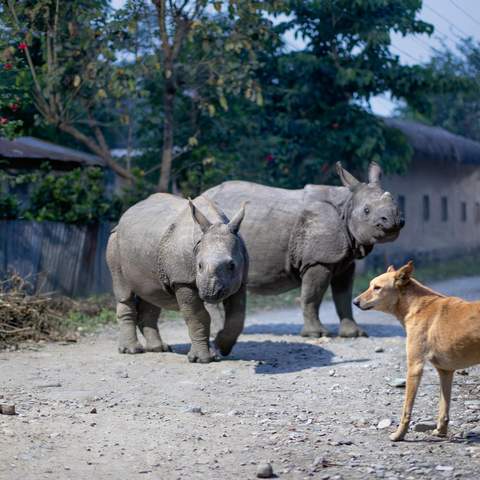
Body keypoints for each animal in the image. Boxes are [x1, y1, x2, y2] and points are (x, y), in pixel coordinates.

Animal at [352, 262, 480, 442]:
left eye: (377, 288)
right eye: (371, 285)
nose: (354, 301)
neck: (416, 306)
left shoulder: (414, 367)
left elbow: (406, 410)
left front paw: (399, 435)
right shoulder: (445, 371)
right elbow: (443, 409)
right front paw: (441, 432)